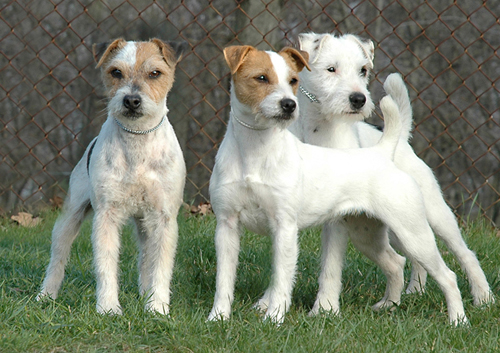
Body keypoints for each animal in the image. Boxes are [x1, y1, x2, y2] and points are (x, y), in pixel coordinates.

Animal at [37, 37, 188, 314]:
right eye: (116, 72)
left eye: (155, 73)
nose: (131, 101)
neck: (137, 138)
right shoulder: (106, 215)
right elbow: (106, 265)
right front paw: (108, 308)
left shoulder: (163, 218)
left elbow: (160, 267)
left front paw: (157, 308)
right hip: (70, 216)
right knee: (58, 258)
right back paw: (46, 295)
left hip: (145, 224)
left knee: (146, 260)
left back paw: (146, 296)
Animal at [292, 31, 494, 310]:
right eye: (331, 69)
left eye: (363, 70)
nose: (359, 99)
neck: (316, 128)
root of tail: (400, 141)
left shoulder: (337, 220)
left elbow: (330, 266)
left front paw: (324, 308)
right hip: (389, 228)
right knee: (407, 259)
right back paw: (406, 295)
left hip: (434, 216)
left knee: (464, 253)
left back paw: (483, 297)